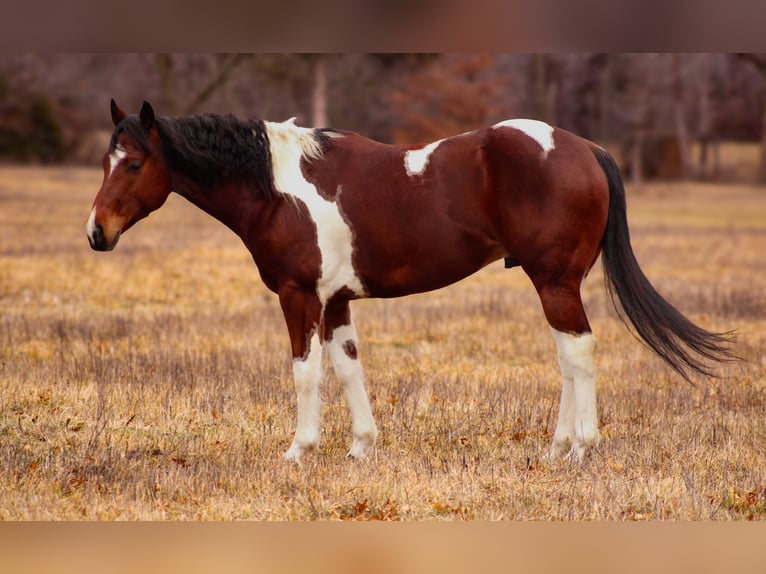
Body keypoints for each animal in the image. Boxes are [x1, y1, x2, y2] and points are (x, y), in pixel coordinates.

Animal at [85, 101, 736, 466]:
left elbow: (305, 373)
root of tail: (587, 147)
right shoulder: (336, 302)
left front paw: (300, 450)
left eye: (135, 164)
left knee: (578, 353)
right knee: (567, 358)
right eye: (105, 161)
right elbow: (348, 367)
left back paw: (579, 448)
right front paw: (360, 446)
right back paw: (556, 448)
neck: (277, 187)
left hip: (555, 282)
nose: (97, 233)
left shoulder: (299, 297)